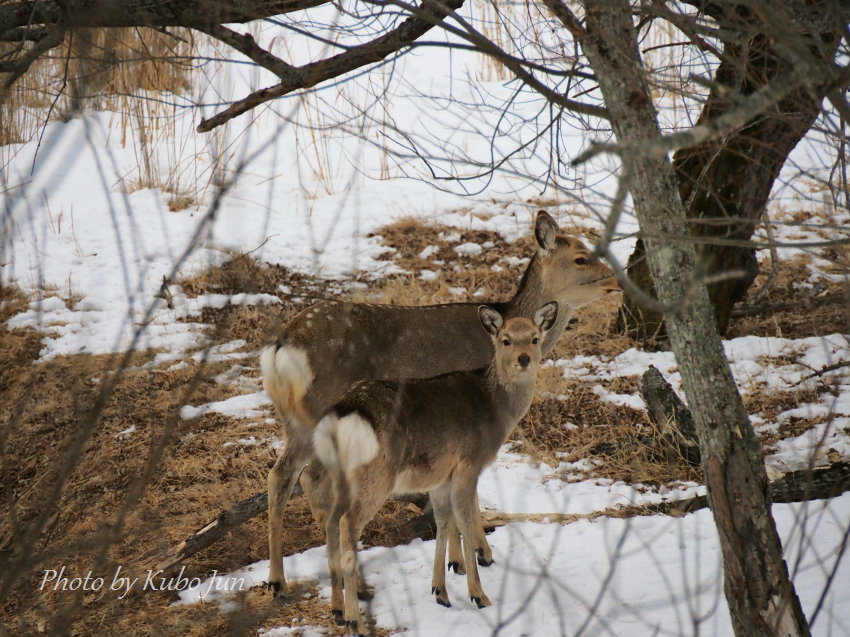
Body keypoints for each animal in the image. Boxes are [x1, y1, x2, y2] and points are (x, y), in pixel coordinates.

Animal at [258, 210, 616, 596]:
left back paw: (286, 577)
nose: (616, 281)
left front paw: (458, 561)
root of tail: (281, 348)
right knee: (306, 477)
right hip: (320, 410)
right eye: (581, 257)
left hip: (293, 418)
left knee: (281, 474)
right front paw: (476, 556)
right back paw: (320, 580)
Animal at [312, 304, 556, 632]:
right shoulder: (468, 464)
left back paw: (338, 610)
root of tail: (346, 412)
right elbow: (466, 520)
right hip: (376, 475)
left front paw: (440, 591)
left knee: (330, 522)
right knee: (347, 524)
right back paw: (353, 618)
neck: (495, 411)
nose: (524, 359)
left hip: (341, 476)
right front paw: (479, 593)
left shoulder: (441, 477)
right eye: (505, 340)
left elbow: (442, 521)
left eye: (534, 338)